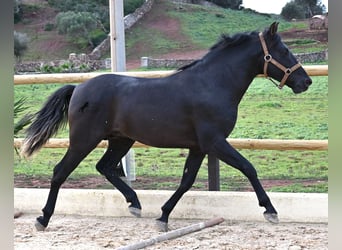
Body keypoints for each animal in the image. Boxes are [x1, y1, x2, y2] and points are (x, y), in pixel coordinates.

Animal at [20, 22, 310, 231]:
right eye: (284, 51)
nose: (305, 82)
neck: (212, 84)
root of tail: (79, 88)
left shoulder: (198, 147)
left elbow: (186, 181)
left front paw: (163, 217)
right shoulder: (215, 142)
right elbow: (248, 168)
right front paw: (270, 211)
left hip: (120, 140)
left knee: (105, 167)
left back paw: (135, 204)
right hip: (84, 140)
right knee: (60, 171)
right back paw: (43, 219)